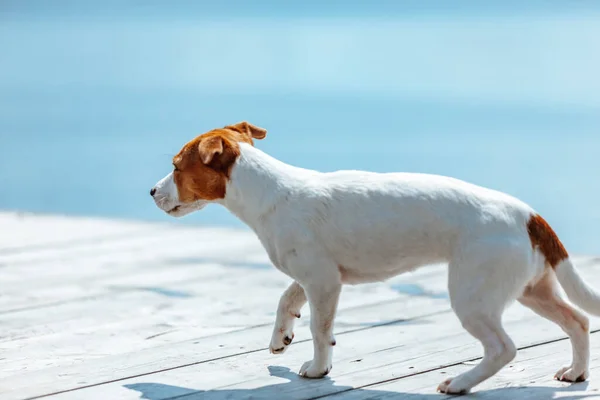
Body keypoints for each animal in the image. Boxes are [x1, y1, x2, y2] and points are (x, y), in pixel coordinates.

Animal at [151, 121, 600, 394]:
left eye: (176, 167)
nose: (151, 192)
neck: (270, 192)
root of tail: (530, 214)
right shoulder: (317, 275)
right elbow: (287, 299)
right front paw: (281, 337)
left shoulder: (323, 282)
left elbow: (319, 328)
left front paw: (317, 368)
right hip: (532, 289)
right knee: (578, 321)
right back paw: (576, 372)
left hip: (473, 296)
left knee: (504, 348)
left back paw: (460, 382)